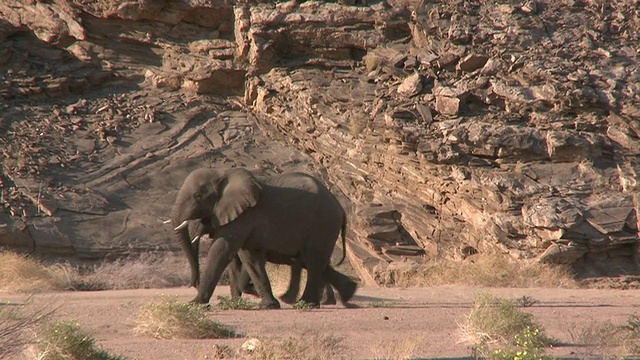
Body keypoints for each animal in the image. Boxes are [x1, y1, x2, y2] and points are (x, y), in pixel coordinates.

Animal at [172, 167, 358, 308]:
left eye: (197, 196)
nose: (192, 285)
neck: (222, 172)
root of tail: (341, 209)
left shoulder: (245, 215)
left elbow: (222, 249)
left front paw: (195, 304)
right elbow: (250, 257)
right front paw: (267, 305)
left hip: (323, 224)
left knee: (313, 261)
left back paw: (307, 304)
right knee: (313, 261)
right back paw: (348, 293)